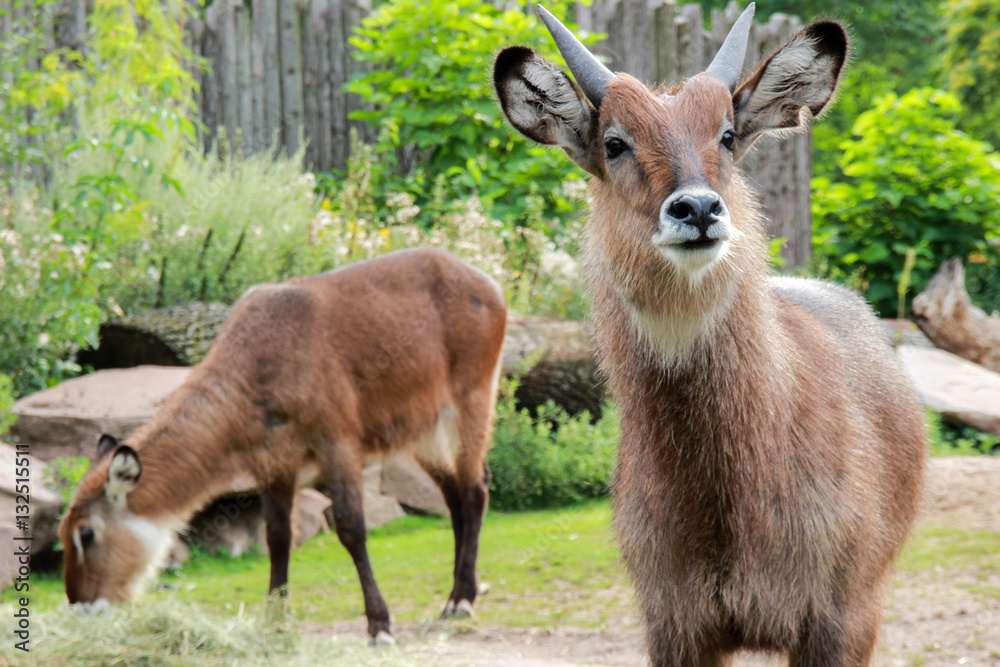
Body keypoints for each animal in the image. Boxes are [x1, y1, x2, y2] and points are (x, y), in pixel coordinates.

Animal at [59, 247, 507, 645]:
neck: (258, 359)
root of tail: (489, 284)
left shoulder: (339, 445)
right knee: (454, 496)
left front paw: (379, 626)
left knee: (475, 488)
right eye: (63, 532)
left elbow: (351, 528)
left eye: (87, 534)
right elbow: (277, 537)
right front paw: (274, 620)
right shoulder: (274, 466)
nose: (81, 607)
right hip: (423, 432)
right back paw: (456, 596)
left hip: (470, 403)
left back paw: (461, 601)